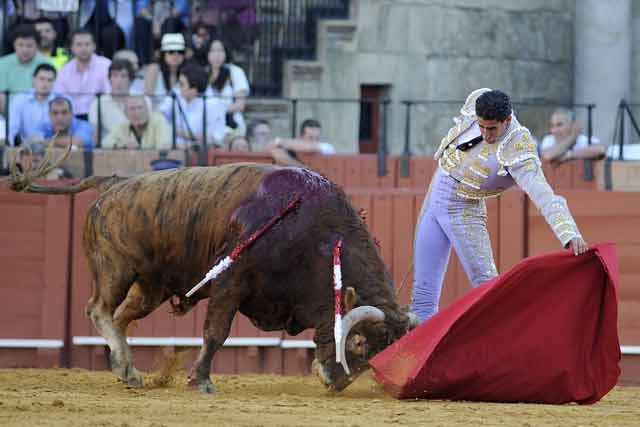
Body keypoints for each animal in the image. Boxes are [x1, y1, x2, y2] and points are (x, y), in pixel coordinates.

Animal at [8, 148, 420, 394]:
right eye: (359, 342)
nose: (338, 382)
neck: (315, 235)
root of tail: (114, 182)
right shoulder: (229, 283)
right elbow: (216, 333)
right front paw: (201, 380)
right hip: (115, 268)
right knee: (99, 309)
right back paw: (128, 367)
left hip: (150, 287)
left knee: (122, 316)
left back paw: (126, 370)